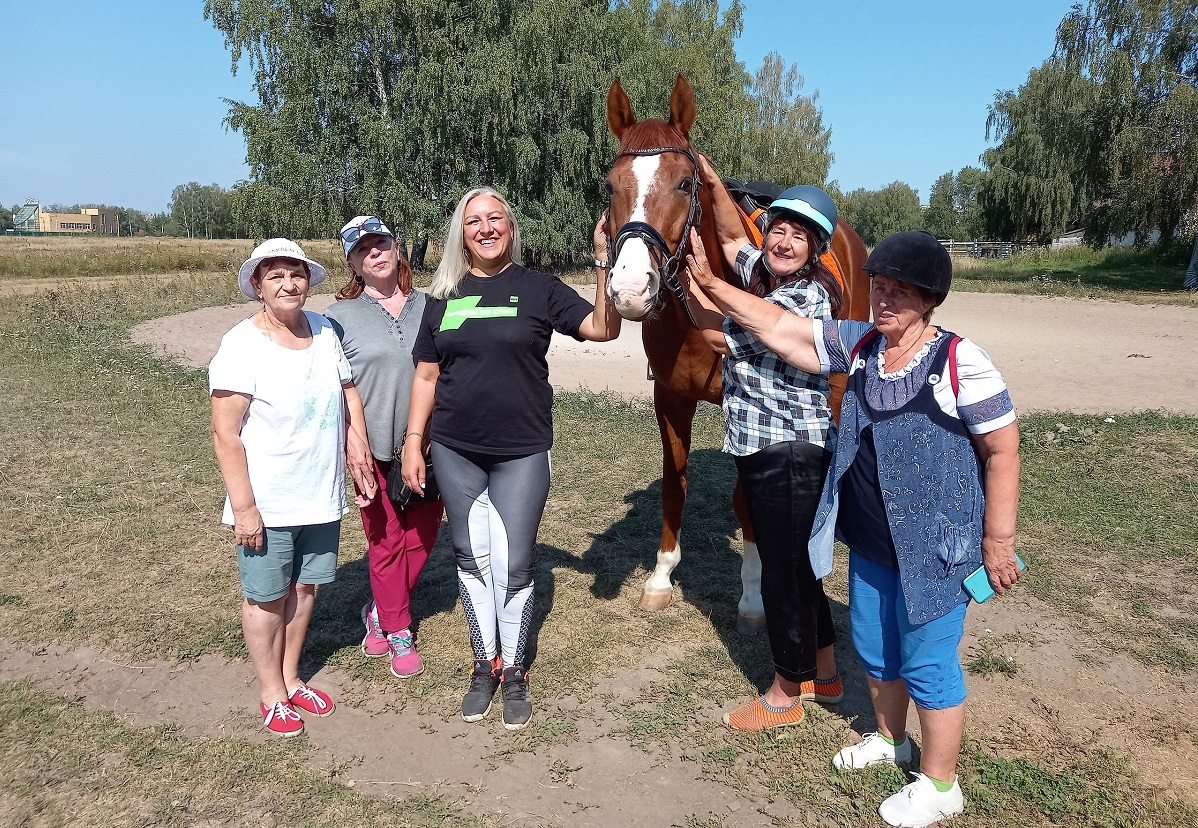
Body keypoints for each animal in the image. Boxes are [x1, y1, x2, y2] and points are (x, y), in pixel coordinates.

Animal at [603, 79, 867, 632]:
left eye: (685, 183)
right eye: (611, 186)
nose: (631, 288)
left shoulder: (744, 404)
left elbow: (747, 501)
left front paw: (751, 597)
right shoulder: (671, 401)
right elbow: (674, 485)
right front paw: (661, 578)